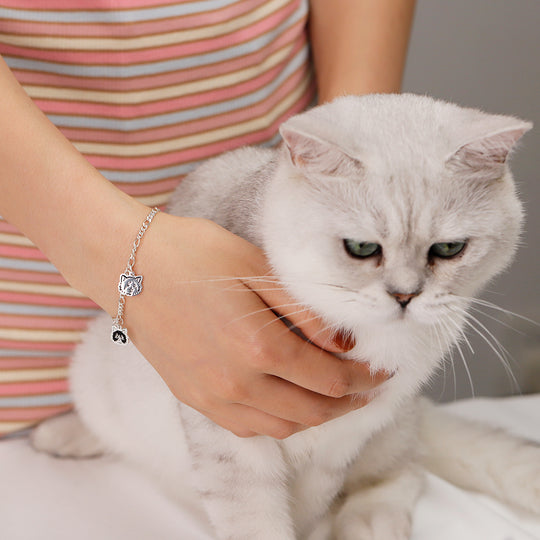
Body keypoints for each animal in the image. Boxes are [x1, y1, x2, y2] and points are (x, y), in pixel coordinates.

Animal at [31, 95, 536, 536]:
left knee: (402, 472)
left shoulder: (348, 434)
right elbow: (255, 518)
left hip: (394, 426)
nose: (405, 295)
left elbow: (314, 501)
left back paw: (371, 525)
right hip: (97, 365)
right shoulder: (229, 430)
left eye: (449, 249)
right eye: (362, 248)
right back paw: (62, 434)